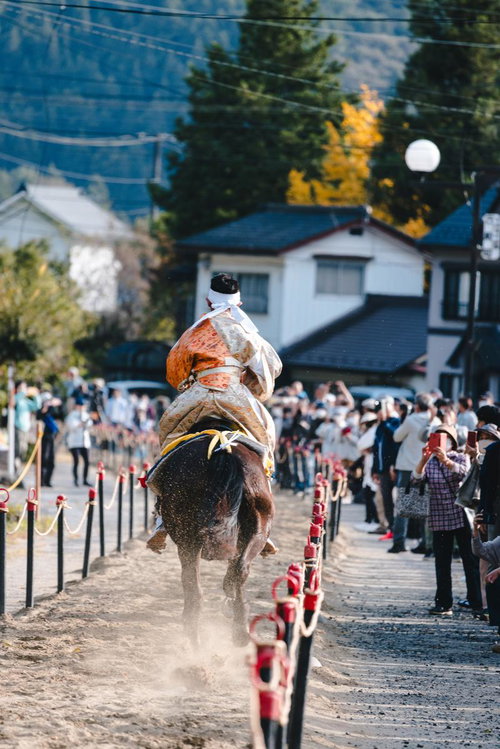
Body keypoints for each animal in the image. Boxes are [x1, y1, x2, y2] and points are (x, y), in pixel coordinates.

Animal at [152, 418, 275, 647]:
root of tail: (225, 454)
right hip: (259, 524)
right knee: (240, 569)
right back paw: (239, 629)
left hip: (186, 537)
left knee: (192, 582)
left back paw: (193, 630)